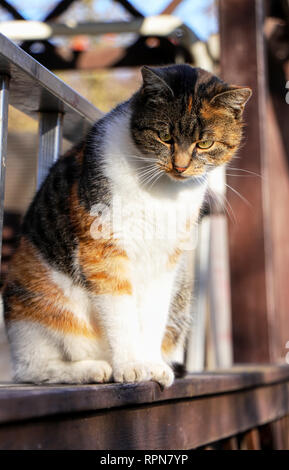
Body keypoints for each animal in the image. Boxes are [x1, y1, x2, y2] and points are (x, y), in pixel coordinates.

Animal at [1, 65, 250, 386]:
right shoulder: (103, 250)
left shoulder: (166, 260)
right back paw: (92, 369)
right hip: (32, 301)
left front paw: (151, 365)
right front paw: (132, 365)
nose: (180, 166)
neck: (161, 191)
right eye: (165, 136)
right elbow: (121, 314)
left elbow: (153, 315)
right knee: (32, 367)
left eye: (204, 143)